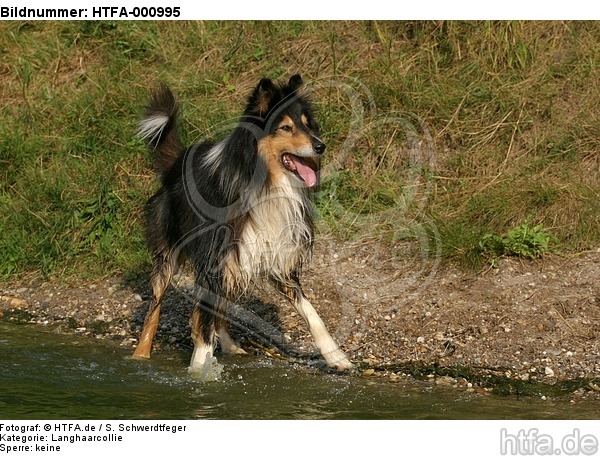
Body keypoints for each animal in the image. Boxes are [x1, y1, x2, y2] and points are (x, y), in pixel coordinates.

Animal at [134, 75, 354, 372]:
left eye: (308, 125)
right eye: (285, 127)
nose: (320, 146)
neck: (265, 185)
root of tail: (176, 163)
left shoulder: (277, 257)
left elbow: (311, 312)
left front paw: (337, 357)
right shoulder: (214, 261)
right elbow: (202, 325)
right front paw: (200, 370)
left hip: (234, 263)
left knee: (219, 311)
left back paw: (230, 346)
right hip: (169, 256)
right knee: (155, 309)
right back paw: (140, 355)